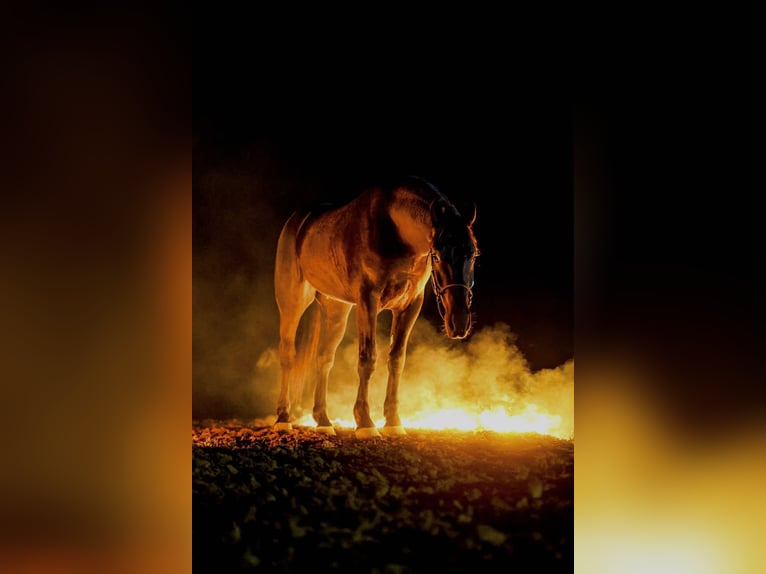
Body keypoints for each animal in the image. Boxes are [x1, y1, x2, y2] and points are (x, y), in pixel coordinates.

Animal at [273, 176, 479, 438]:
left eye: (473, 254)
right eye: (437, 255)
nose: (459, 322)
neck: (394, 228)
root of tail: (298, 221)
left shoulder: (409, 306)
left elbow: (396, 360)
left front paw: (393, 421)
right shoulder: (367, 301)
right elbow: (367, 358)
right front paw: (365, 422)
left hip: (336, 310)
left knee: (324, 358)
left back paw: (323, 420)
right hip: (292, 302)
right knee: (287, 354)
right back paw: (283, 418)